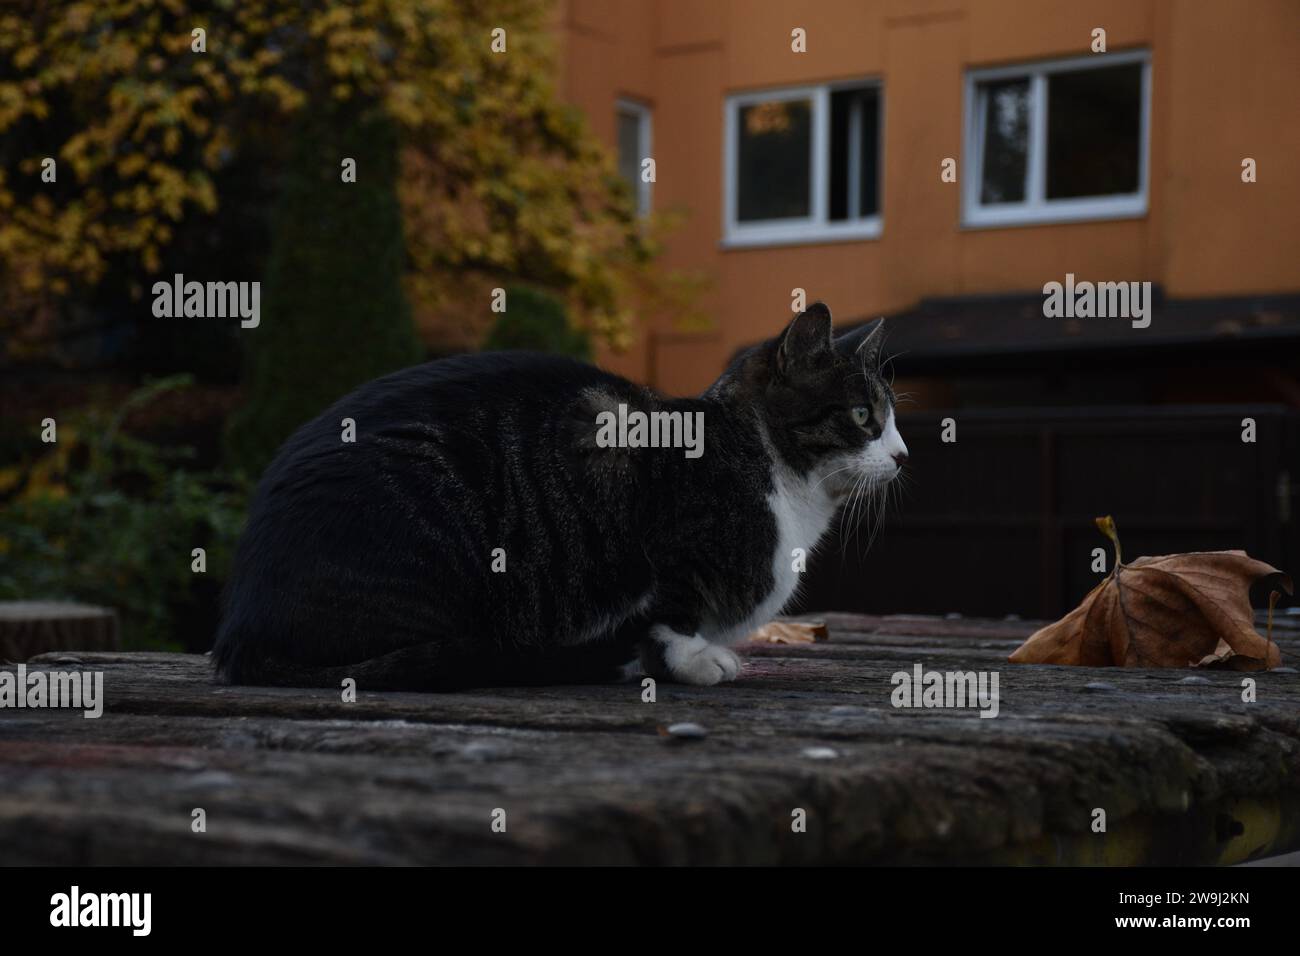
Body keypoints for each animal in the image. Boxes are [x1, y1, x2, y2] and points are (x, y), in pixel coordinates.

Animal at [210, 303, 904, 691]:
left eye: (892, 417)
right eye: (863, 415)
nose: (902, 455)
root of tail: (241, 629)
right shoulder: (665, 541)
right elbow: (671, 614)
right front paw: (690, 661)